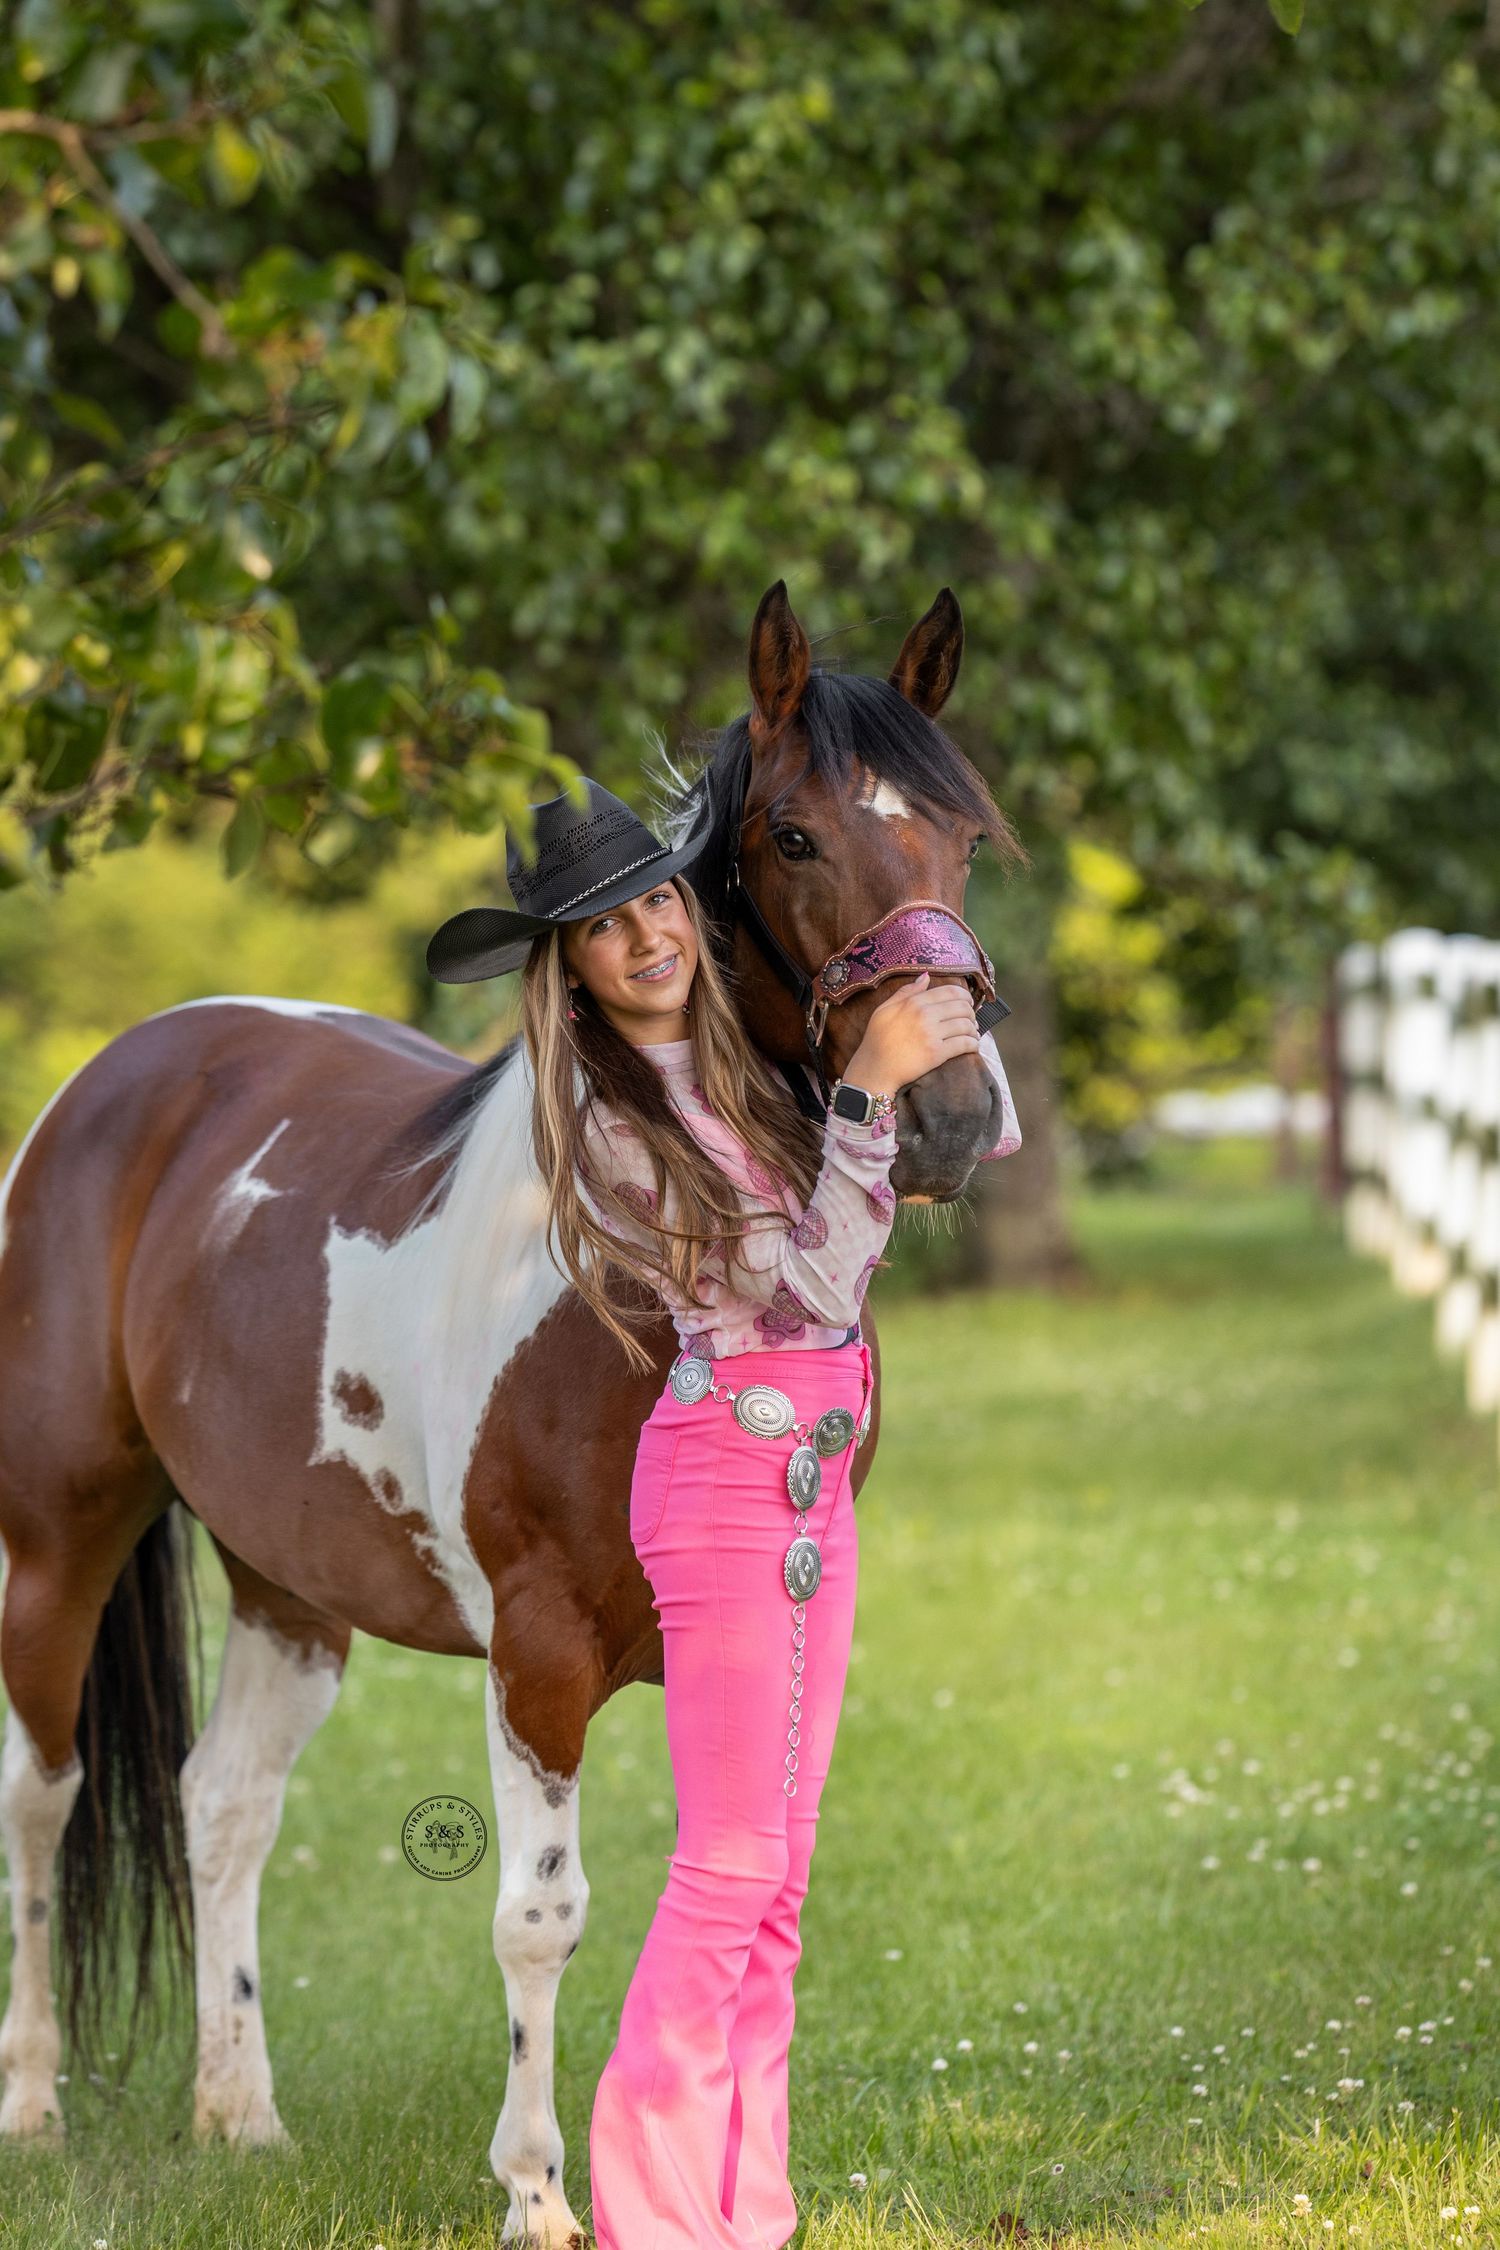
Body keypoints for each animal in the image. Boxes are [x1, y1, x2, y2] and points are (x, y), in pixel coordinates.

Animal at [0, 581, 1019, 2245]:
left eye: (967, 839)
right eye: (797, 836)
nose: (946, 1118)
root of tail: (124, 1073)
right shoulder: (535, 1653)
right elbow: (540, 1913)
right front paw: (540, 2188)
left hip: (288, 1577)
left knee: (223, 1802)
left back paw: (240, 2114)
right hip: (57, 1537)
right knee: (44, 1795)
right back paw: (31, 2104)